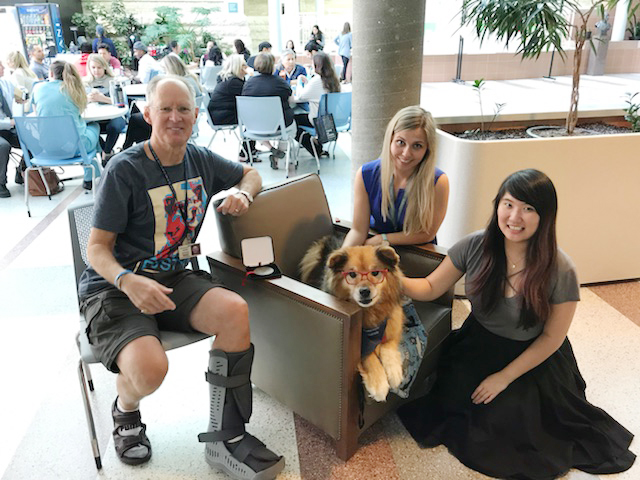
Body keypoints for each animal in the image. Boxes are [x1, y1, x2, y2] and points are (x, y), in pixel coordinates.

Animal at [300, 236, 404, 402]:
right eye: (352, 275)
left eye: (375, 273)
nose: (364, 291)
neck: (371, 312)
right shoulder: (362, 346)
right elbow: (369, 356)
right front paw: (379, 384)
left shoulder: (393, 323)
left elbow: (389, 344)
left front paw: (394, 372)